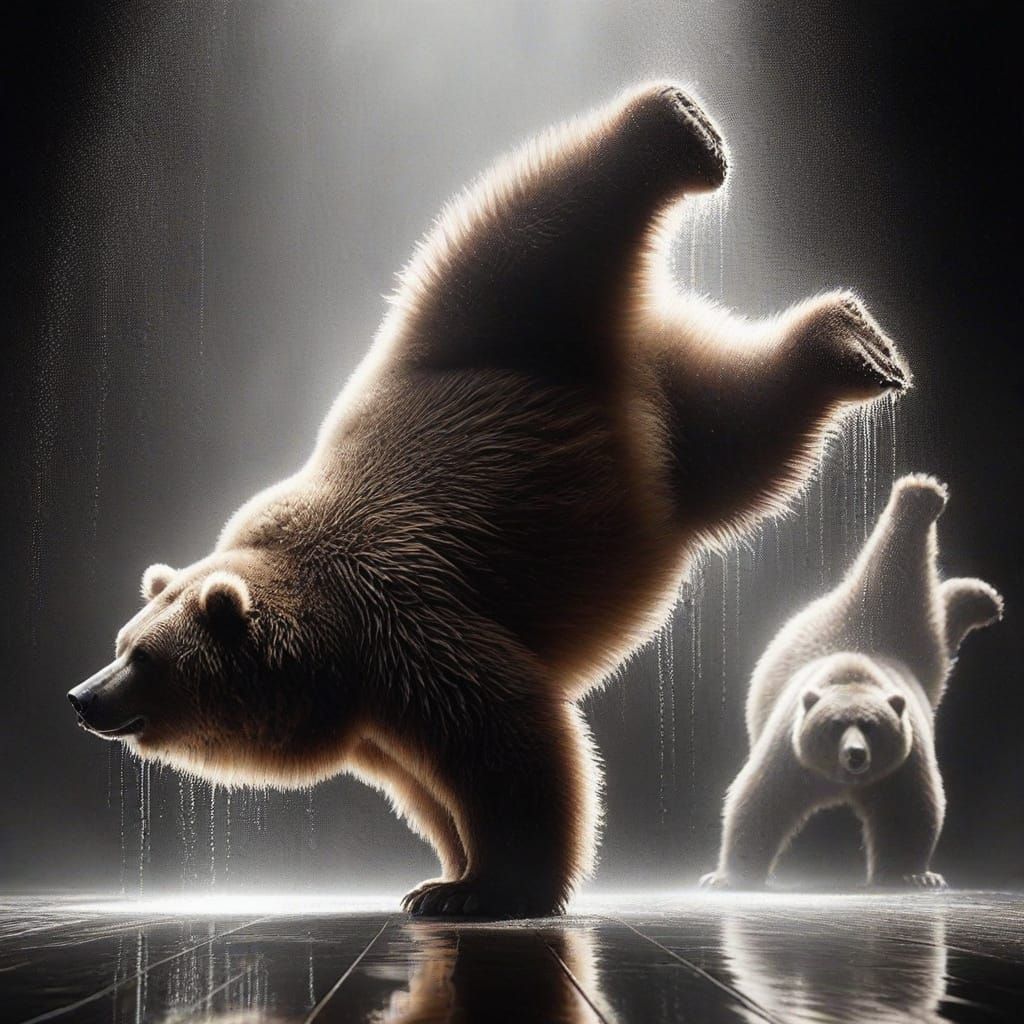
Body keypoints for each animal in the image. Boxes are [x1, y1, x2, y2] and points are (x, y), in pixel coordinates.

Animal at [68, 81, 909, 918]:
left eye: (143, 656)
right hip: (669, 426)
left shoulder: (407, 625)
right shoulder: (376, 720)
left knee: (534, 224)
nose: (82, 696)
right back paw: (850, 338)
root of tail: (633, 349)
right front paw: (444, 871)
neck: (330, 649)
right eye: (120, 641)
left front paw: (481, 889)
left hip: (478, 321)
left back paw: (681, 135)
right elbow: (427, 790)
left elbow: (508, 742)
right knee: (744, 422)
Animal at [701, 474, 1002, 891]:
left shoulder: (901, 761)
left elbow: (910, 809)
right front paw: (727, 876)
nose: (855, 755)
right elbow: (760, 799)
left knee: (909, 580)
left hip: (917, 643)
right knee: (897, 569)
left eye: (871, 727)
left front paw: (912, 874)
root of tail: (863, 625)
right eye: (834, 725)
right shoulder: (791, 752)